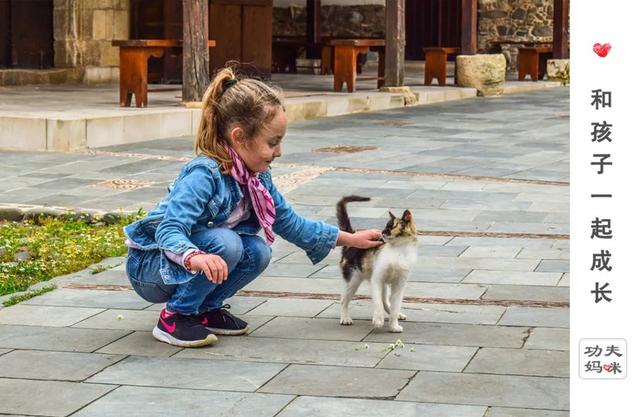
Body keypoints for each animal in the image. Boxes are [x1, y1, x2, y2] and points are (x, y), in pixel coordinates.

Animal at [336, 195, 420, 332]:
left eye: (391, 226)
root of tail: (353, 235)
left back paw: (396, 315)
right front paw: (378, 320)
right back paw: (345, 318)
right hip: (353, 278)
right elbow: (377, 303)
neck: (398, 249)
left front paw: (393, 325)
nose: (381, 232)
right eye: (385, 226)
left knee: (386, 301)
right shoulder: (376, 279)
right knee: (344, 299)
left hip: (384, 284)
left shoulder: (399, 284)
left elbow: (395, 305)